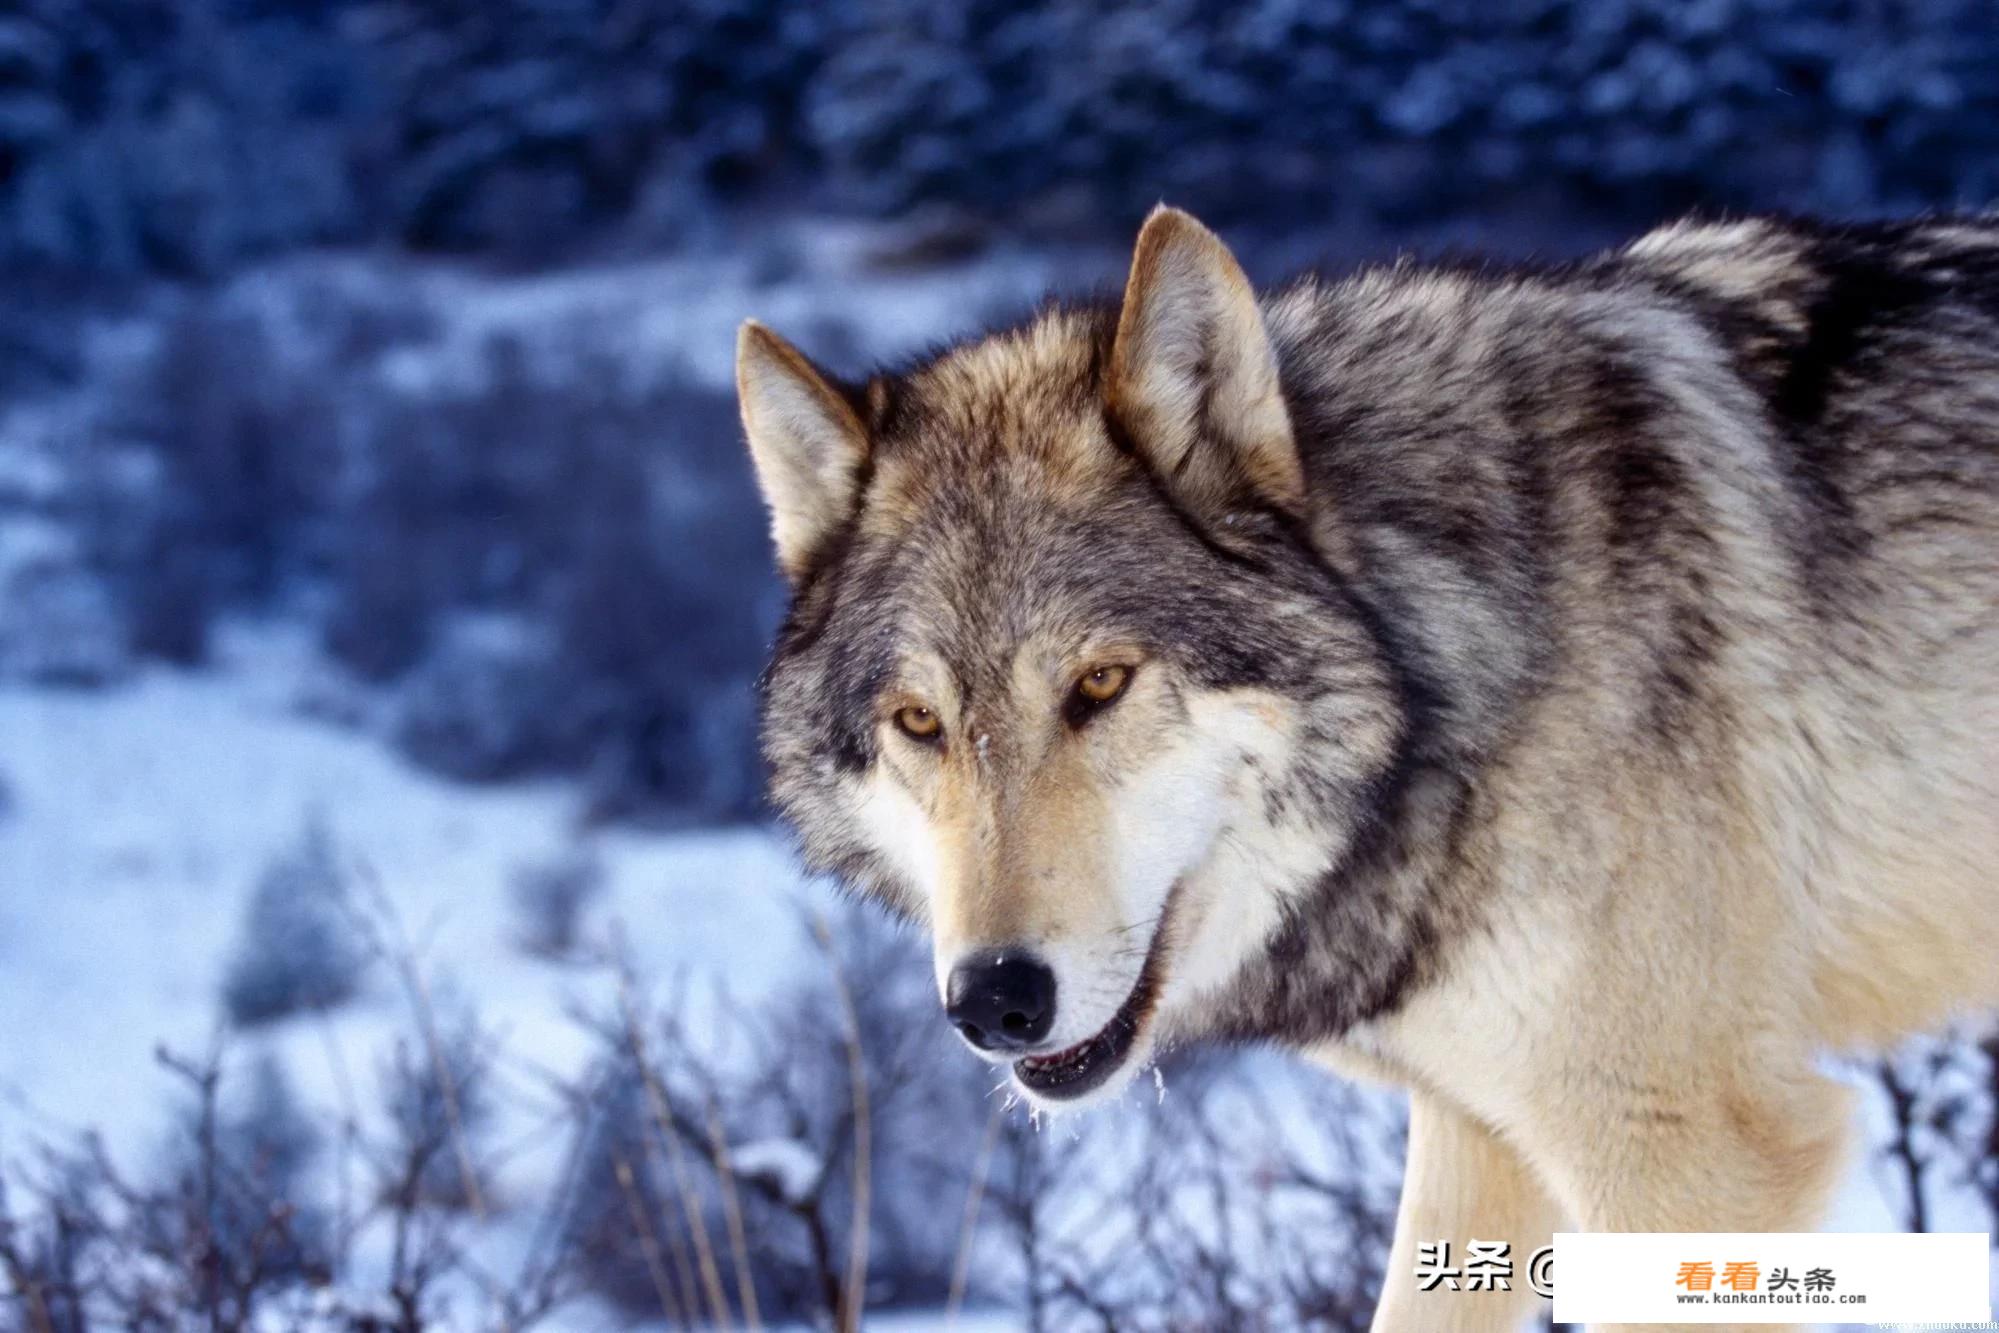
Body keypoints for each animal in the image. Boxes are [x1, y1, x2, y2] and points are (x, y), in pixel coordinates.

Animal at [735, 208, 1999, 1333]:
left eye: (1099, 683)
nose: (995, 999)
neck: (1452, 668)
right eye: (919, 721)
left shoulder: (1685, 1159)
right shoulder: (1478, 1137)